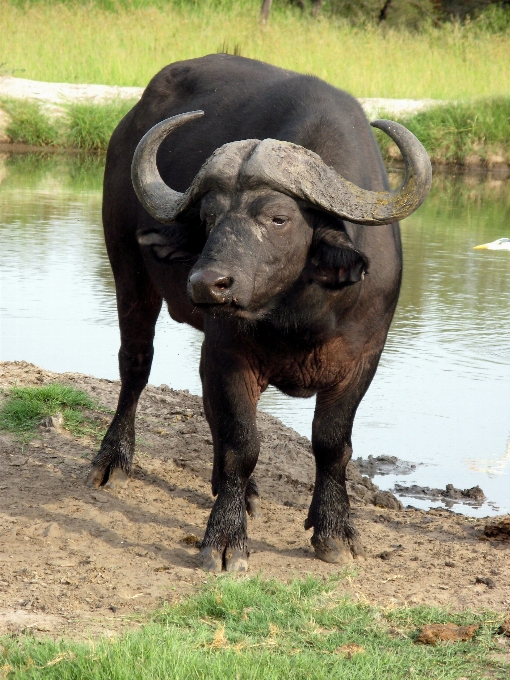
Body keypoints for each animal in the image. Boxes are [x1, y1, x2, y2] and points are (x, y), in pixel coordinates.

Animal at [86, 55, 430, 572]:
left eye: (278, 218)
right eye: (208, 217)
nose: (206, 283)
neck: (303, 314)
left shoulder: (363, 358)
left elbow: (332, 443)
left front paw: (334, 530)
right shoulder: (230, 354)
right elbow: (242, 443)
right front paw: (225, 538)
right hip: (128, 269)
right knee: (136, 365)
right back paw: (113, 461)